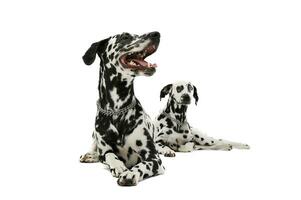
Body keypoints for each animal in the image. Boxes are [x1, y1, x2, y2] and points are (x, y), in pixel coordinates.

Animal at [79, 31, 164, 186]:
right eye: (125, 37)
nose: (156, 34)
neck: (117, 110)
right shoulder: (105, 148)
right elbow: (109, 155)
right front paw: (118, 166)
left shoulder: (154, 158)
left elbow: (143, 164)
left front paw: (131, 173)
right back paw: (90, 155)